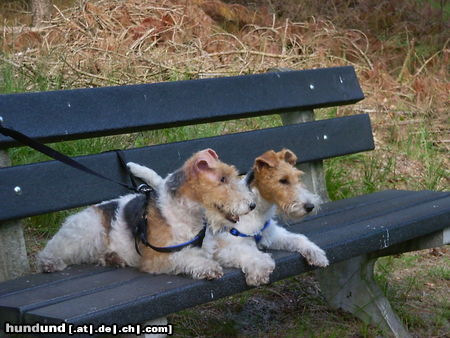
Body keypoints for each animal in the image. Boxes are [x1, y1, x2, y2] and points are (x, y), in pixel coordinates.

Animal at [37, 149, 256, 280]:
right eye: (222, 179)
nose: (252, 204)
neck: (185, 215)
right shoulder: (156, 258)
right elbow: (186, 257)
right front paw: (208, 268)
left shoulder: (211, 247)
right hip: (85, 232)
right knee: (51, 251)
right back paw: (49, 263)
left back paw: (113, 258)